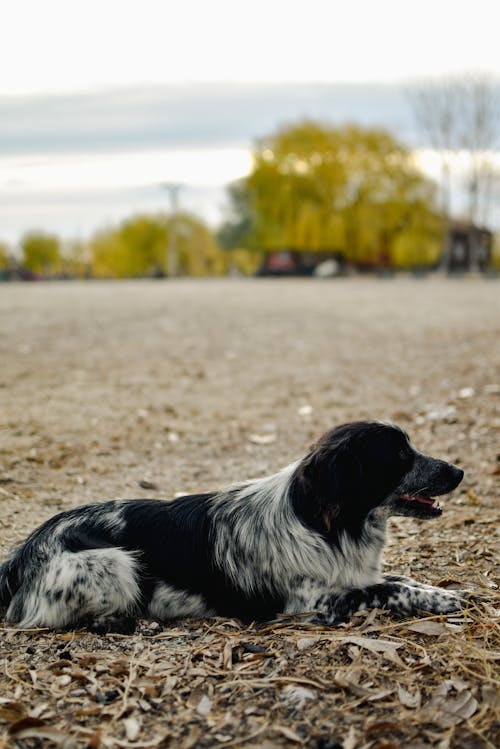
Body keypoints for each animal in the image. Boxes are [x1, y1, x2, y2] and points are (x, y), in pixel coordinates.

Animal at [0, 420, 468, 632]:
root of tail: (22, 555)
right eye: (400, 455)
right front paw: (443, 601)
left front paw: (444, 591)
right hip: (115, 564)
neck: (324, 526)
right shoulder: (314, 603)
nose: (460, 471)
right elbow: (386, 588)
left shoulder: (352, 573)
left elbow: (399, 578)